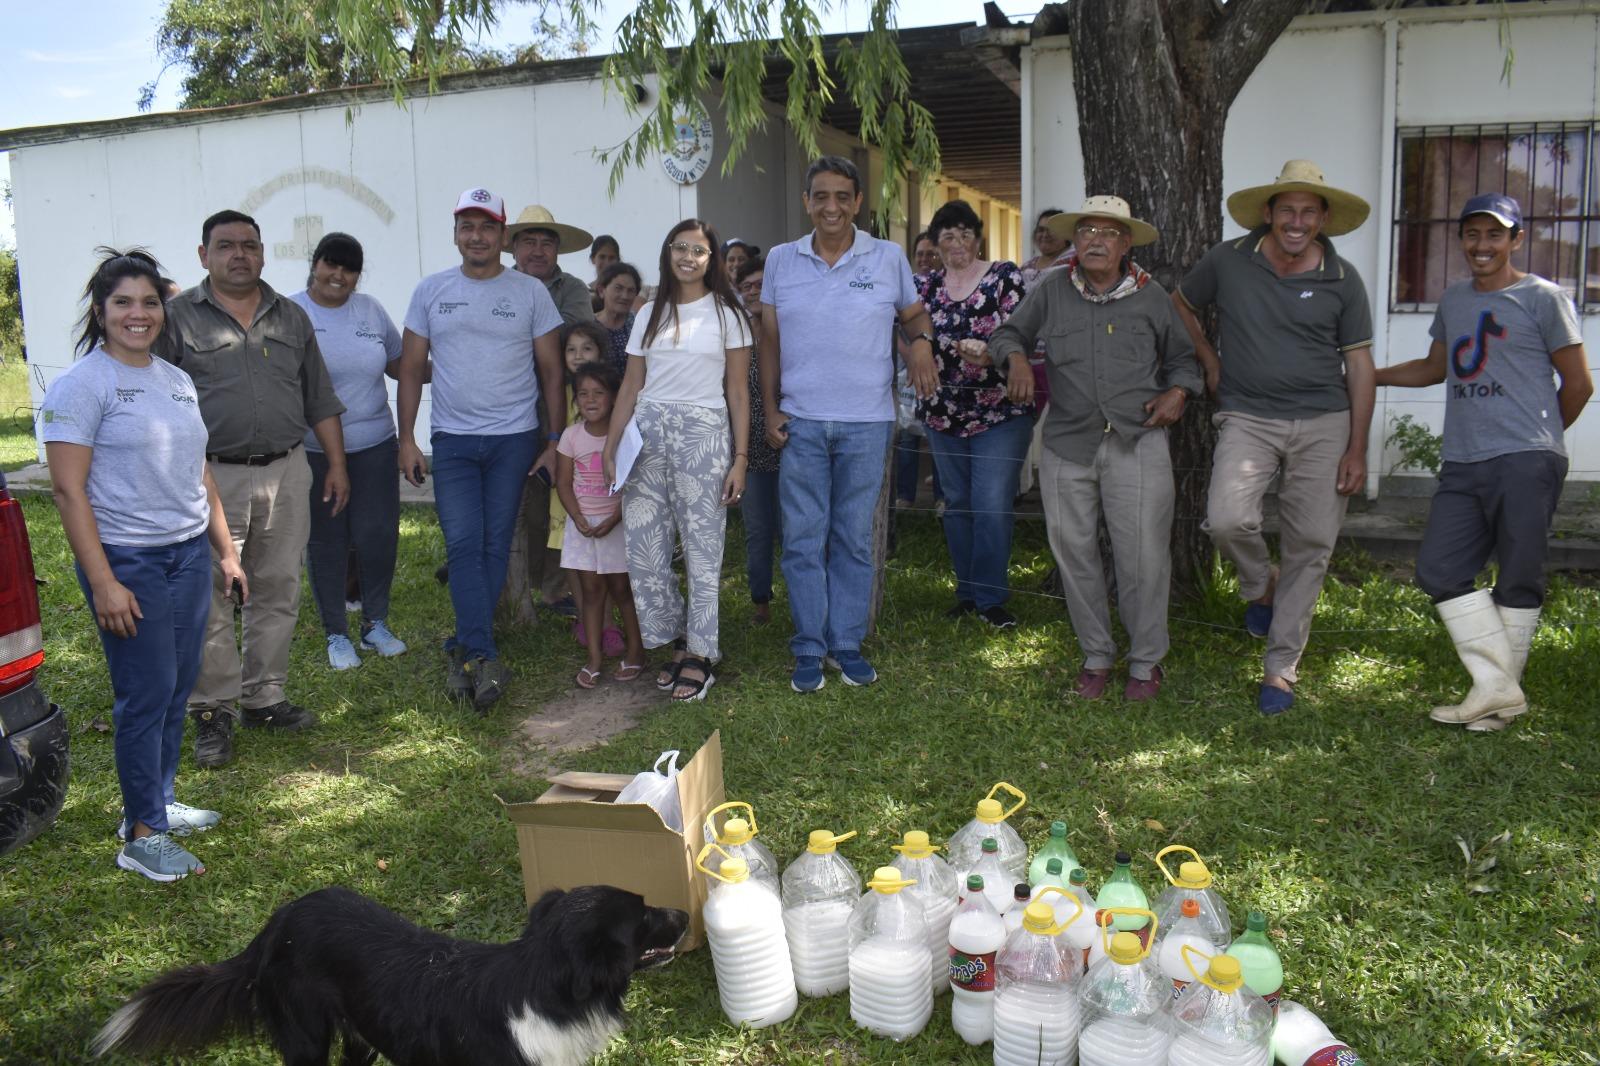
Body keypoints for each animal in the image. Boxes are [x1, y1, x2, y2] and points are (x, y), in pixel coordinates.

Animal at [89, 877, 688, 1062]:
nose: (685, 914)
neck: (544, 984)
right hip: (306, 1039)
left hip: (362, 1035)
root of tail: (279, 919)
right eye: (643, 918)